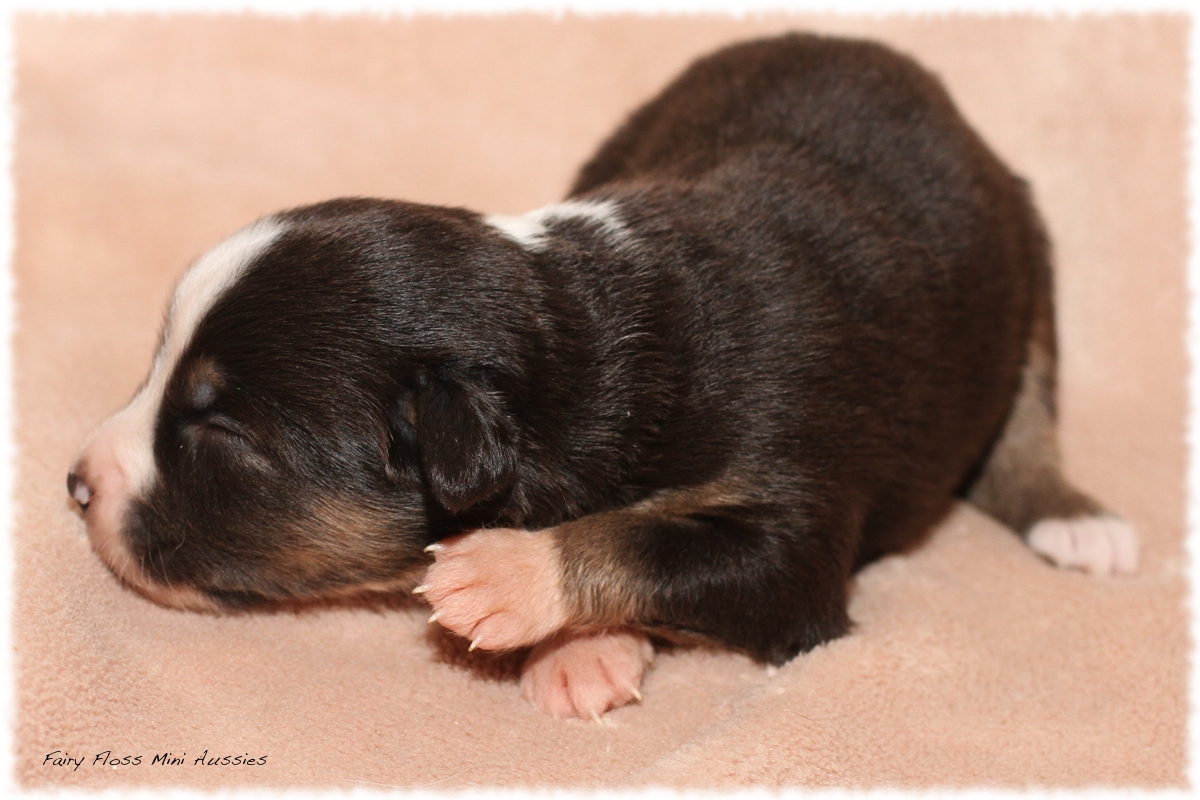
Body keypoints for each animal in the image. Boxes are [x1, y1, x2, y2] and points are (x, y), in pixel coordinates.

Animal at [70, 32, 1137, 719]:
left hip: (1032, 261)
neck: (586, 342)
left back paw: (1077, 518)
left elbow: (671, 544)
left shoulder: (795, 519)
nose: (77, 484)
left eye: (221, 432)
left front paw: (507, 576)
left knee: (1028, 423)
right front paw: (586, 647)